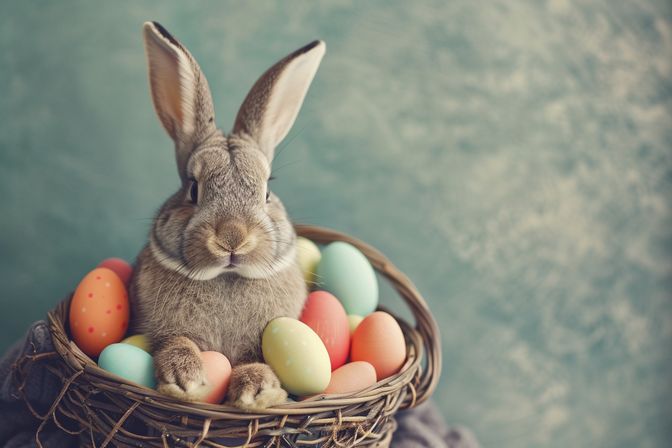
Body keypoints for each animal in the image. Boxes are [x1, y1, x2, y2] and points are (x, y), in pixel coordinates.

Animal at [129, 21, 326, 410]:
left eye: (266, 191)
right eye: (193, 189)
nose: (232, 237)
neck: (226, 277)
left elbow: (257, 360)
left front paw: (258, 390)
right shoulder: (159, 328)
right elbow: (174, 341)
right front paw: (184, 379)